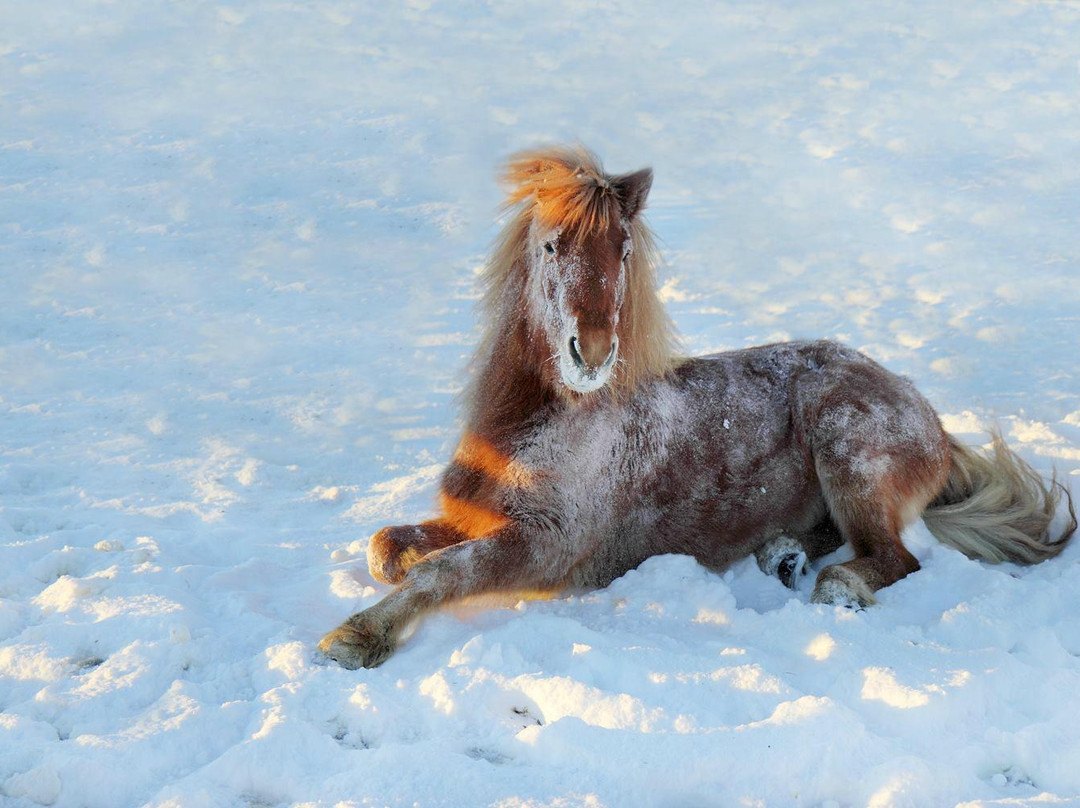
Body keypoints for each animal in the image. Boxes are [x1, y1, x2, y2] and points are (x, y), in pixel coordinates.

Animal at [320, 146, 1076, 669]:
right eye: (552, 245)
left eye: (624, 249)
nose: (593, 353)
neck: (544, 422)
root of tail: (931, 420)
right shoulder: (473, 515)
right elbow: (389, 548)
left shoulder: (544, 545)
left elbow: (447, 570)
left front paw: (357, 636)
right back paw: (781, 556)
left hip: (849, 453)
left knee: (891, 557)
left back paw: (834, 586)